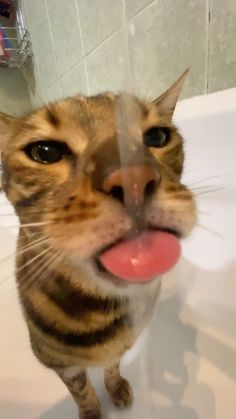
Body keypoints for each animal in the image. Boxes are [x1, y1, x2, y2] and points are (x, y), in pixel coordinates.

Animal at [0, 70, 195, 418]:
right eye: (45, 152)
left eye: (157, 137)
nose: (133, 179)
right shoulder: (62, 365)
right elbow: (82, 392)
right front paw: (91, 411)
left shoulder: (123, 343)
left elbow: (113, 367)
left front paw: (116, 386)